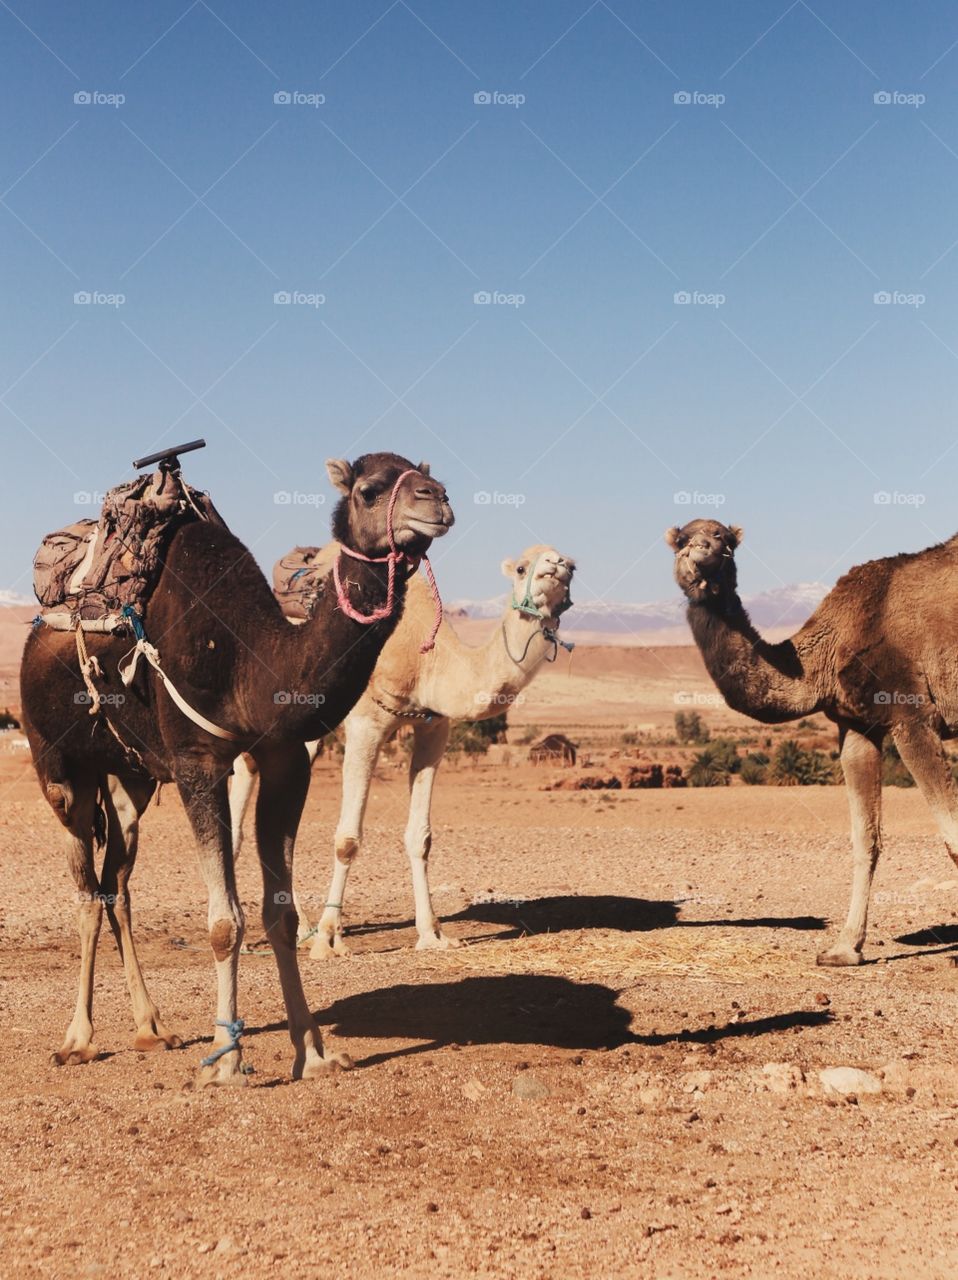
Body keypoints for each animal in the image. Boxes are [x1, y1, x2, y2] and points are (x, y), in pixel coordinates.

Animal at [19, 453, 453, 1082]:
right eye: (370, 490)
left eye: (426, 473)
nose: (436, 499)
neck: (251, 658)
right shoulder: (197, 762)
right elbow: (224, 923)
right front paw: (225, 1061)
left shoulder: (284, 760)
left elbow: (281, 916)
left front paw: (314, 1053)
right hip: (59, 767)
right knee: (84, 889)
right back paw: (79, 1038)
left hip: (132, 777)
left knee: (116, 883)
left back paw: (152, 1028)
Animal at [230, 545, 575, 956]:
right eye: (522, 567)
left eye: (572, 568)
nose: (557, 565)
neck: (426, 659)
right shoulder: (365, 724)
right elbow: (347, 840)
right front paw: (329, 938)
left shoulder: (434, 728)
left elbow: (420, 837)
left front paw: (432, 934)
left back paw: (298, 929)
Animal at [667, 516, 958, 967]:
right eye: (682, 539)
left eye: (726, 541)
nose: (702, 551)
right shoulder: (857, 726)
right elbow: (865, 840)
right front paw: (843, 949)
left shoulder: (912, 716)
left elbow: (952, 834)